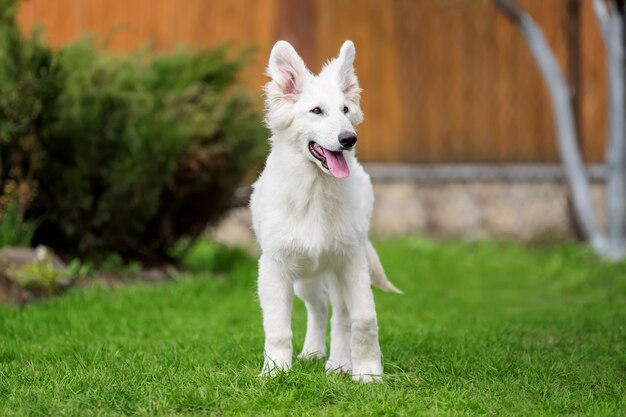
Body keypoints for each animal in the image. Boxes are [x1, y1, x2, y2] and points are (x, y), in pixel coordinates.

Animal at [247, 40, 398, 382]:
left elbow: (364, 318)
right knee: (318, 308)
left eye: (345, 110)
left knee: (340, 314)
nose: (349, 139)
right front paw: (275, 371)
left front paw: (368, 373)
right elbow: (277, 328)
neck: (314, 191)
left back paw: (339, 363)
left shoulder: (352, 262)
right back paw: (314, 352)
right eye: (316, 111)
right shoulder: (275, 268)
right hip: (305, 276)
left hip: (335, 270)